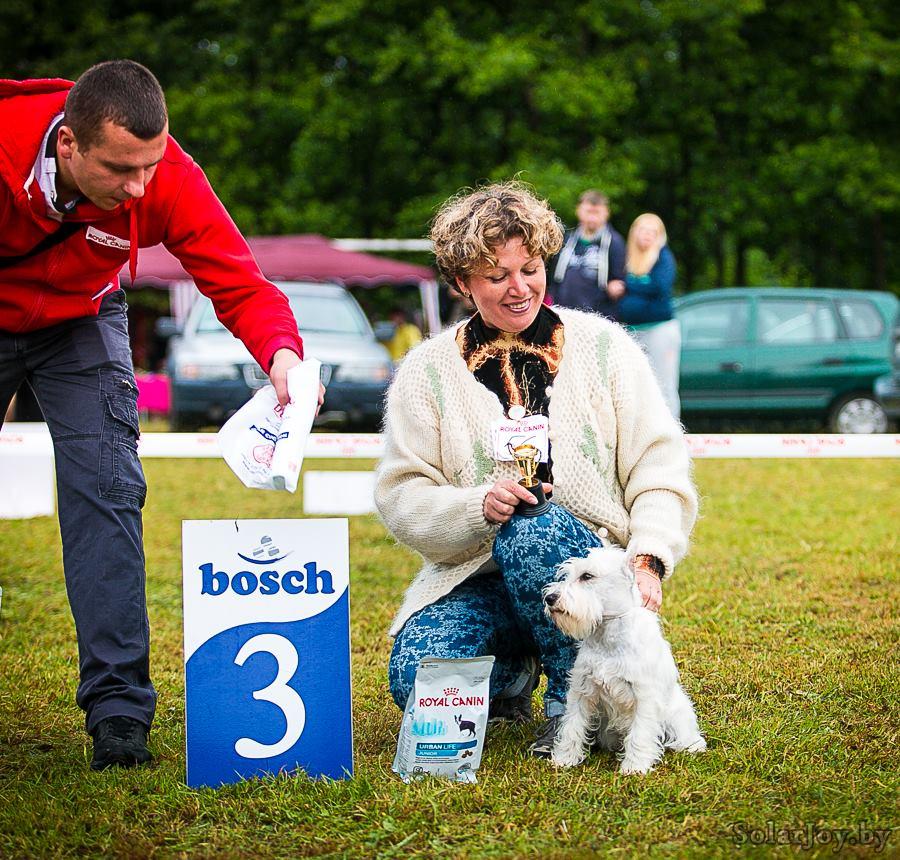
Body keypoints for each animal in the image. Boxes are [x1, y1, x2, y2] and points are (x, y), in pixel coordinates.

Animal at [543, 545, 706, 774]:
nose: (550, 598)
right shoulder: (581, 691)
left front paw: (634, 767)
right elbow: (572, 726)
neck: (607, 636)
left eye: (587, 576)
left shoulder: (644, 695)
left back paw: (693, 745)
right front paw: (564, 759)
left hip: (677, 713)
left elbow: (640, 733)